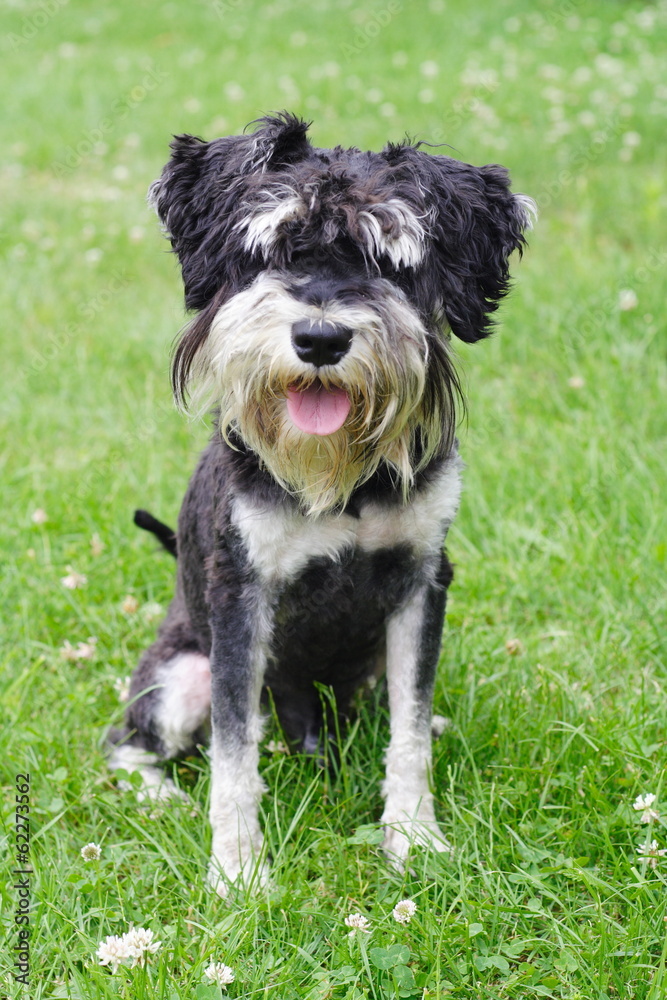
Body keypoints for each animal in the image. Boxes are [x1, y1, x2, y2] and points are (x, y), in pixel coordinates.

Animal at [111, 113, 536, 896]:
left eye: (389, 259)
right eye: (274, 248)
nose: (319, 338)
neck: (346, 482)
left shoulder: (419, 582)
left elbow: (408, 726)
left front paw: (413, 836)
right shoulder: (241, 597)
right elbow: (233, 752)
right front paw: (238, 870)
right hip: (181, 675)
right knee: (130, 741)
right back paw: (158, 795)